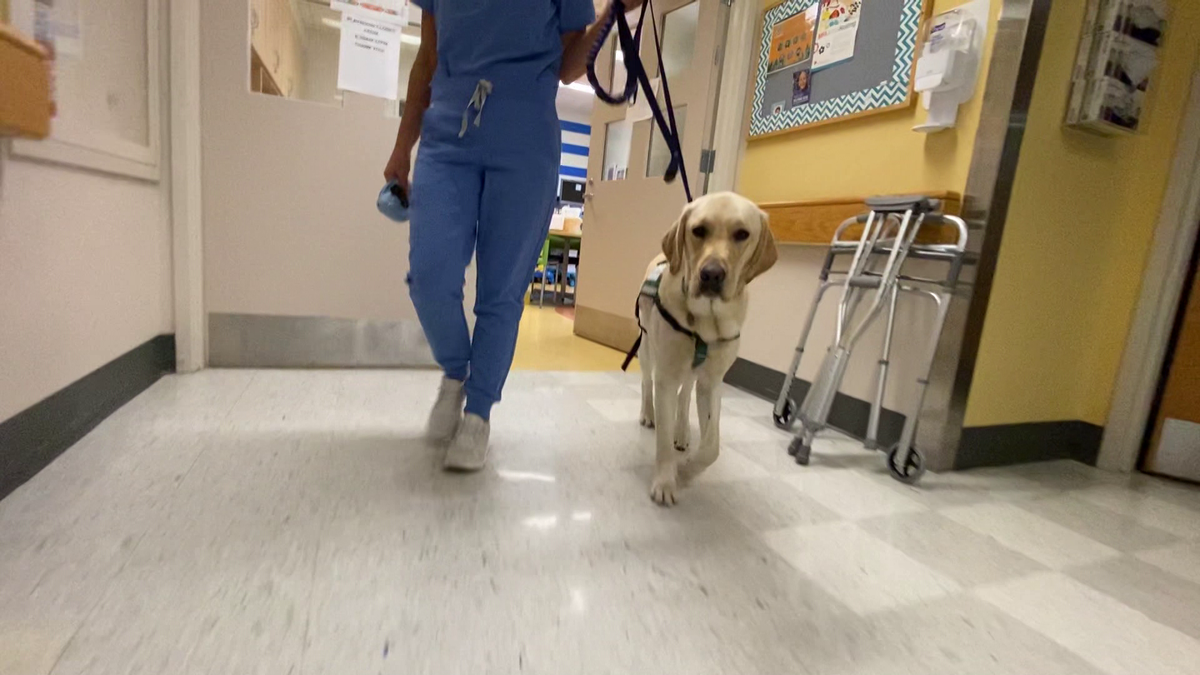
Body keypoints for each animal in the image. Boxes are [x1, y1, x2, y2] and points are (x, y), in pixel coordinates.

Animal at [638, 192, 777, 502]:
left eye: (742, 234)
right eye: (698, 230)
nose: (712, 274)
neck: (706, 322)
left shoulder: (712, 382)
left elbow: (712, 446)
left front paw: (688, 468)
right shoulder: (666, 376)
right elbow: (662, 437)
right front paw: (665, 482)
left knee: (685, 394)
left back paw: (682, 432)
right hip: (647, 348)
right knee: (646, 383)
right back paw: (648, 414)